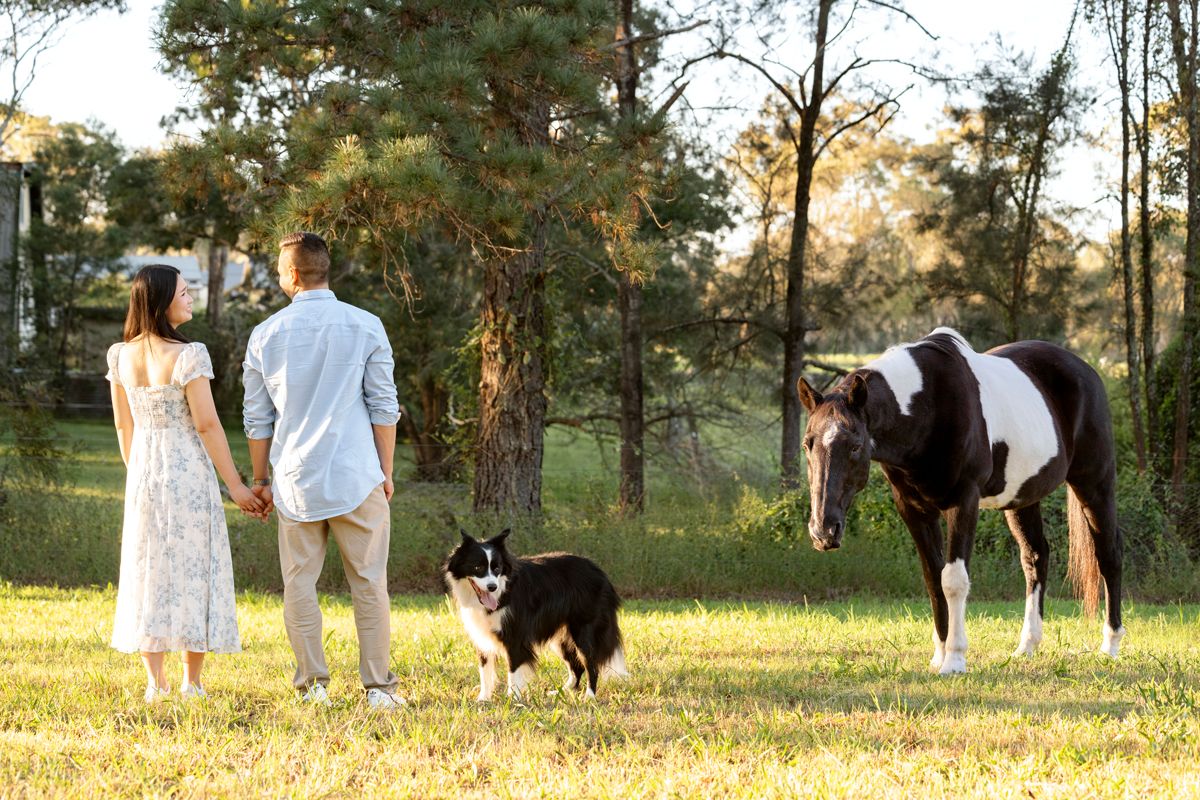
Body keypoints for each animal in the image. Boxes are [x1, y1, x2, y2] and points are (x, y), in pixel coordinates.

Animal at [797, 327, 1124, 675]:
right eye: (807, 444)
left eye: (856, 445)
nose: (823, 531)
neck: (928, 406)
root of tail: (1086, 370)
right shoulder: (913, 509)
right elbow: (933, 578)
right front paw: (939, 654)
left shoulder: (964, 501)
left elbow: (953, 579)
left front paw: (954, 659)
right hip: (1023, 498)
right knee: (1035, 557)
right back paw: (1026, 646)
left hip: (1095, 483)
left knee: (1109, 554)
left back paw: (1110, 645)